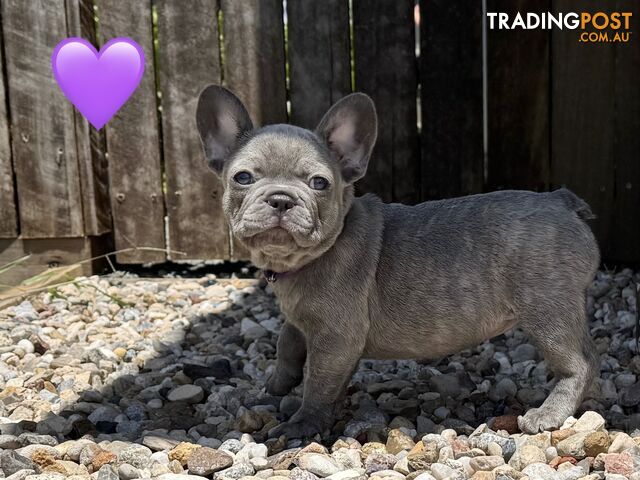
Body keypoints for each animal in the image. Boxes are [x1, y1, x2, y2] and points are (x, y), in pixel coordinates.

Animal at [195, 85, 600, 438]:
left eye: (319, 183)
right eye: (243, 177)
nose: (281, 198)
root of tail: (560, 200)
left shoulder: (335, 340)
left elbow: (319, 384)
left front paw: (302, 423)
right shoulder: (300, 320)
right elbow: (288, 343)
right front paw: (276, 385)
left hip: (548, 310)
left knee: (577, 363)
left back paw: (548, 413)